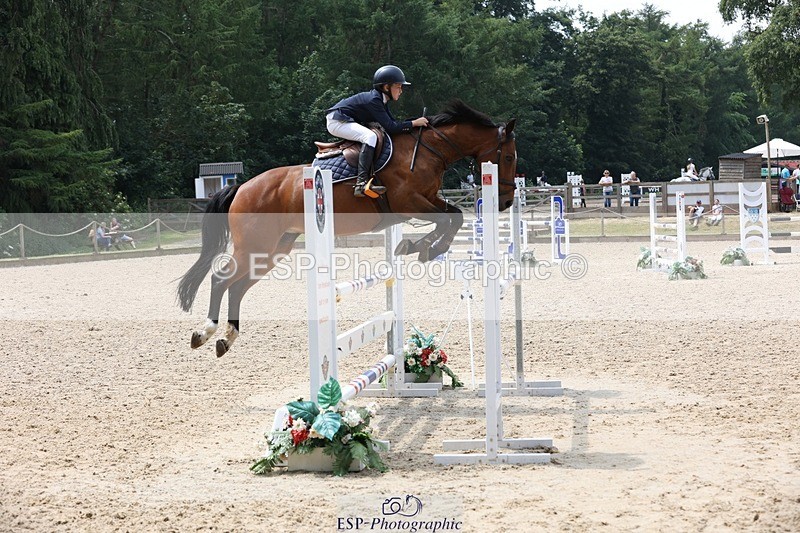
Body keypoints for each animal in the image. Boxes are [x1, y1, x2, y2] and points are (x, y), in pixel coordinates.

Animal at [177, 100, 519, 357]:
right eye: (509, 156)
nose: (505, 202)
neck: (429, 149)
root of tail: (242, 187)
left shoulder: (428, 200)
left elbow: (454, 216)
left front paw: (417, 247)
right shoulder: (409, 202)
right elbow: (451, 219)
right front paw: (420, 248)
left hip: (273, 250)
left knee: (237, 287)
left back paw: (227, 338)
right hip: (255, 245)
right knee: (221, 279)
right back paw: (205, 333)